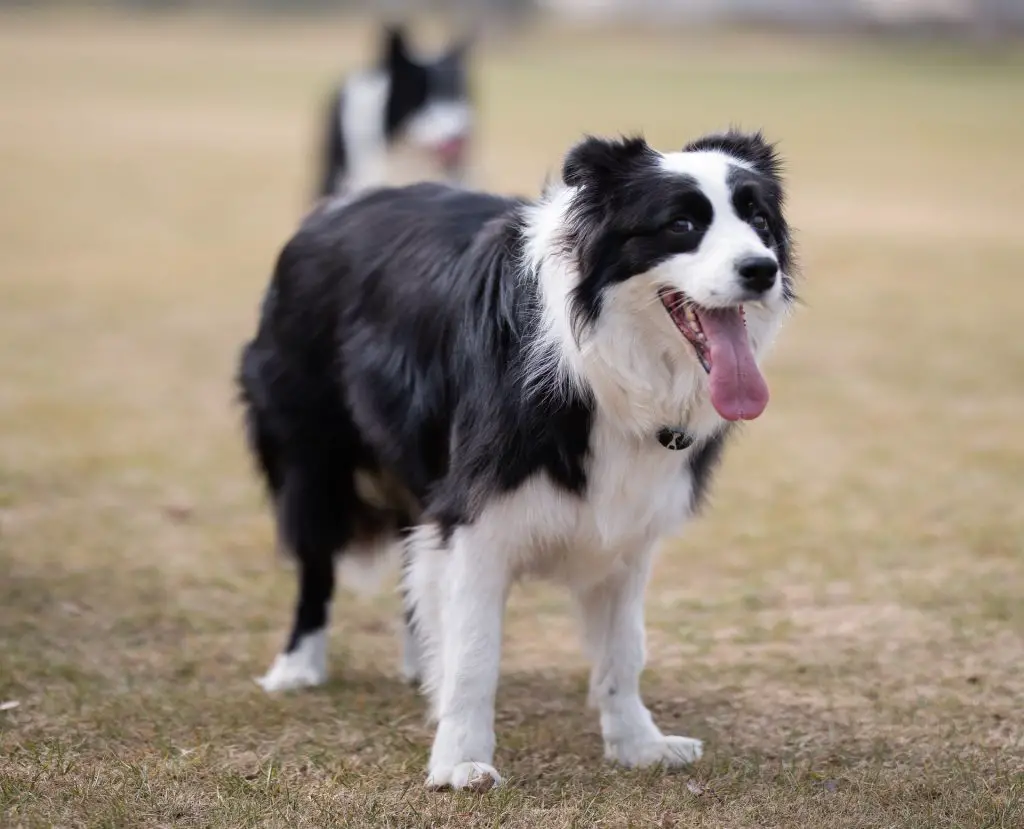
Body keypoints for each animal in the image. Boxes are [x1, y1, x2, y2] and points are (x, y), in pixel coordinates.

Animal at [237, 128, 790, 790]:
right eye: (681, 224)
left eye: (758, 220)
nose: (762, 269)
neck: (601, 363)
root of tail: (331, 210)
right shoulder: (479, 517)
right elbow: (476, 653)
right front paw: (460, 760)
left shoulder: (630, 529)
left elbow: (624, 649)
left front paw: (638, 744)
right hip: (312, 453)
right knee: (317, 564)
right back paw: (298, 667)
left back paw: (419, 662)